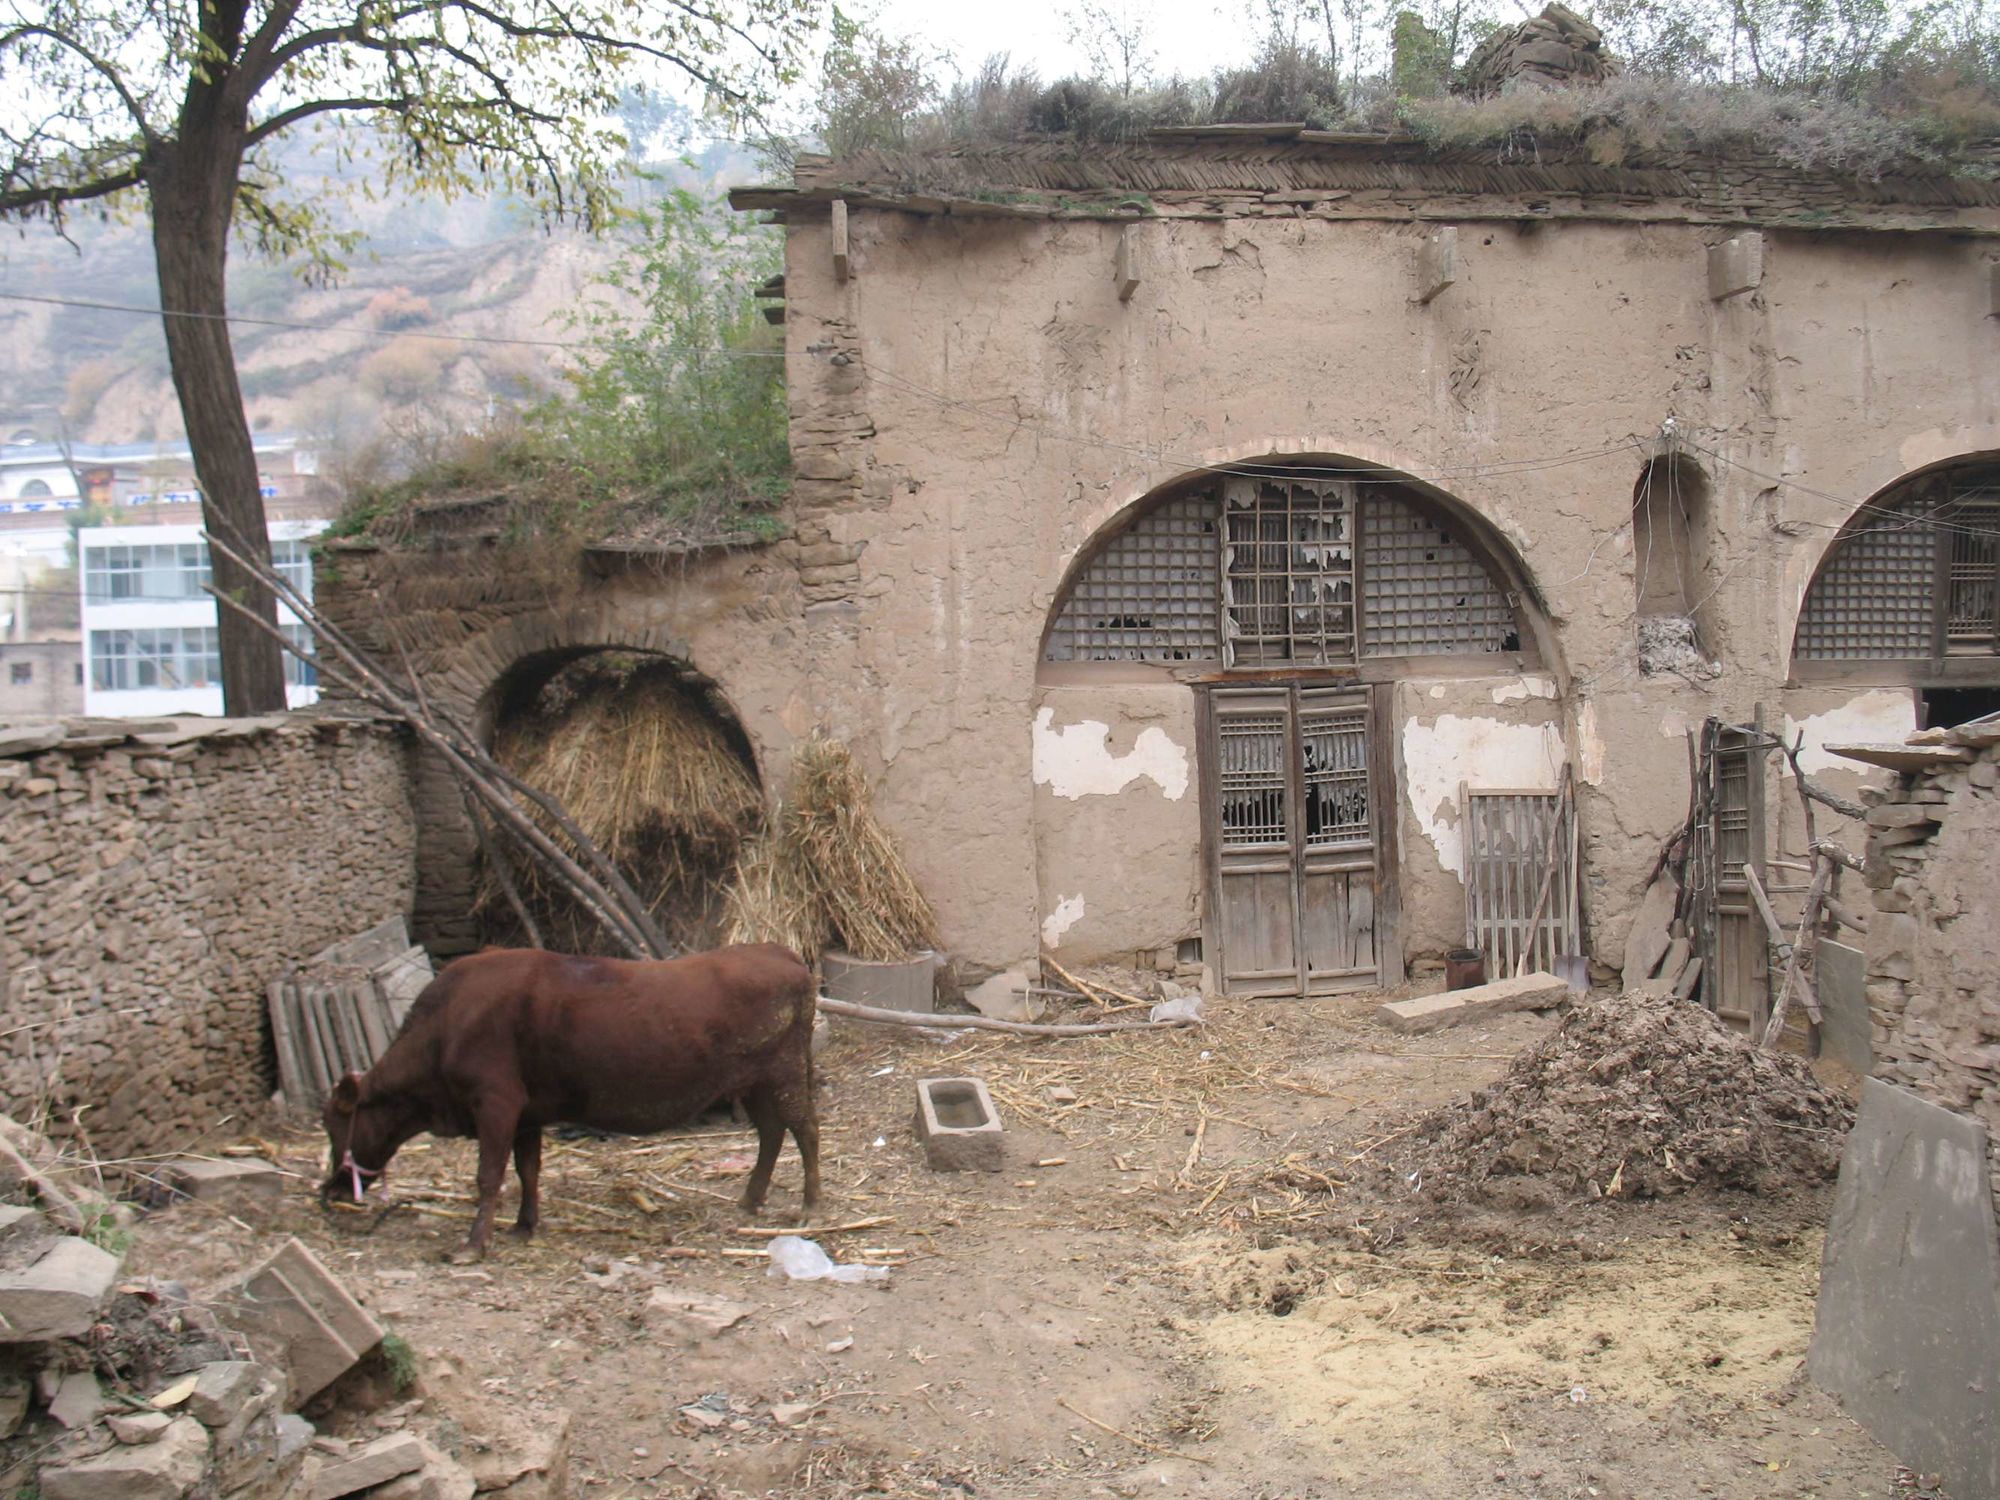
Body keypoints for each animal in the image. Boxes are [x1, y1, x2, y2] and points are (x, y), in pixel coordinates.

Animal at [320, 944, 820, 1264]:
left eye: (333, 1124)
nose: (332, 1191)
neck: (446, 1026)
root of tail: (779, 951)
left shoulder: (496, 1101)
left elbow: (488, 1176)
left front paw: (472, 1246)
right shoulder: (526, 1114)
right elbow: (527, 1170)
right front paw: (524, 1225)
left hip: (784, 1074)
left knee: (805, 1130)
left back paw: (810, 1202)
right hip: (754, 1083)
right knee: (772, 1133)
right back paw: (751, 1198)